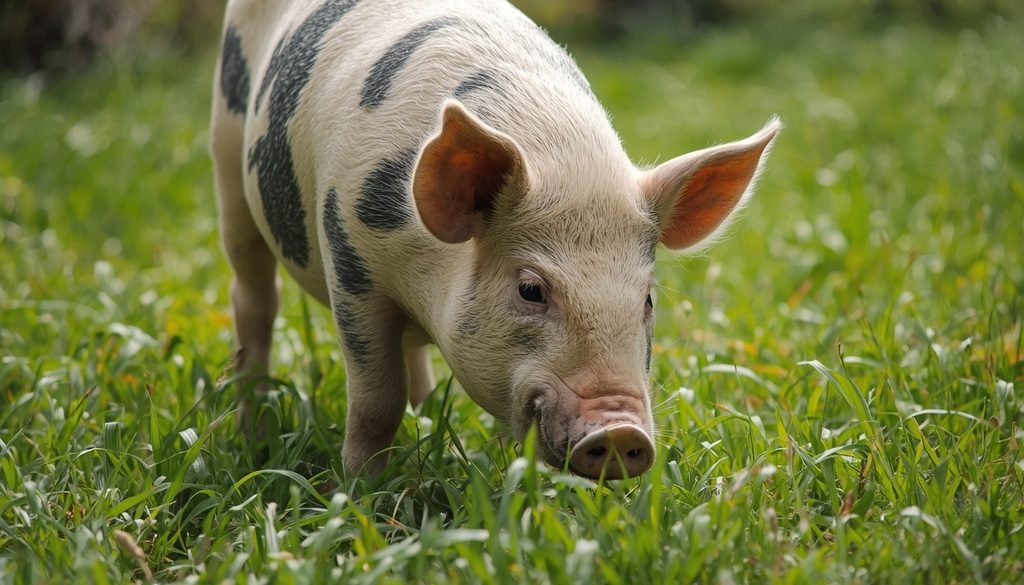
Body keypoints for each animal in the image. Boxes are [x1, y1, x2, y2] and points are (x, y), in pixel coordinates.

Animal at [210, 0, 779, 479]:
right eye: (530, 290)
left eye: (647, 300)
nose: (621, 432)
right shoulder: (349, 260)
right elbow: (376, 402)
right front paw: (362, 492)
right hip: (228, 154)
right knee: (253, 298)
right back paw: (252, 433)